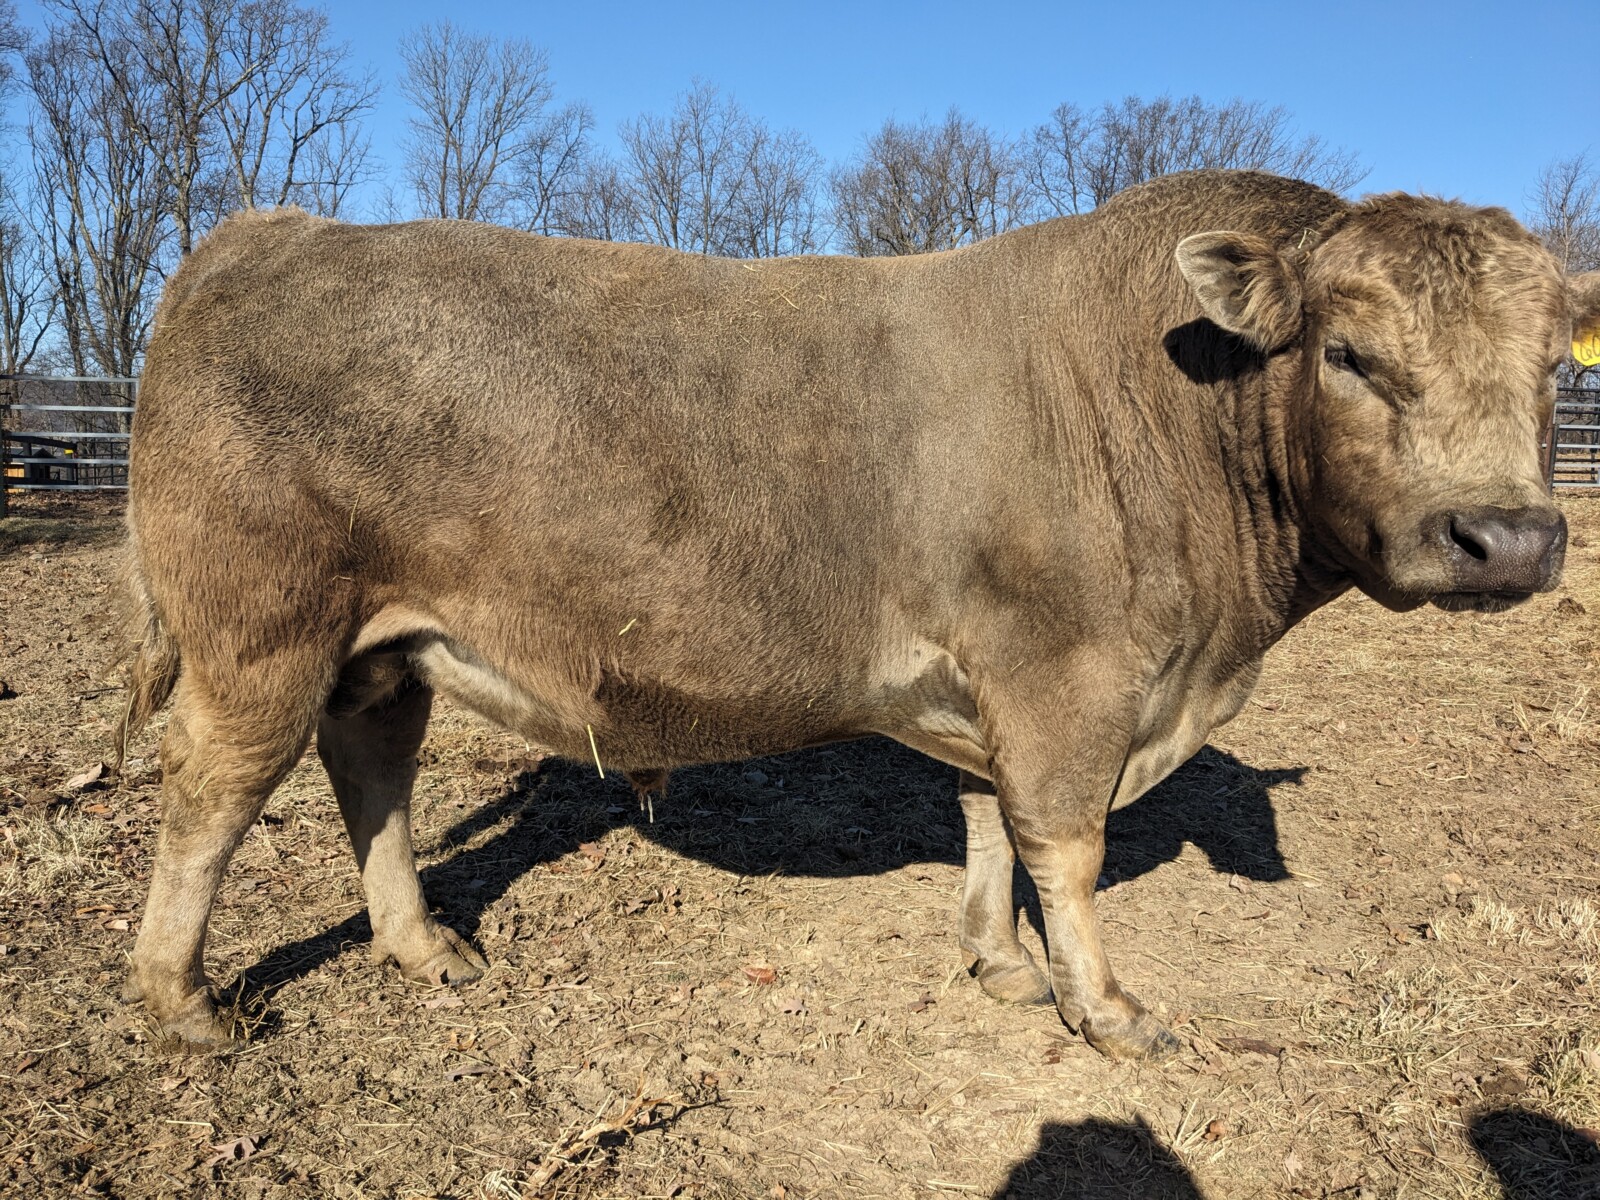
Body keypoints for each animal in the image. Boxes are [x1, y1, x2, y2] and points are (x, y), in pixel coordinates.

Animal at [117, 170, 1595, 1061]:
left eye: (1551, 372)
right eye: (1349, 355)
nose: (1507, 537)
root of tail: (268, 230)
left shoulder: (1004, 683)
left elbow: (991, 824)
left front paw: (999, 964)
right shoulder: (1067, 678)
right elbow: (1067, 847)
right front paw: (1106, 1008)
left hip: (384, 646)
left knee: (371, 767)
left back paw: (421, 947)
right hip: (260, 628)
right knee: (214, 788)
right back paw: (183, 1002)